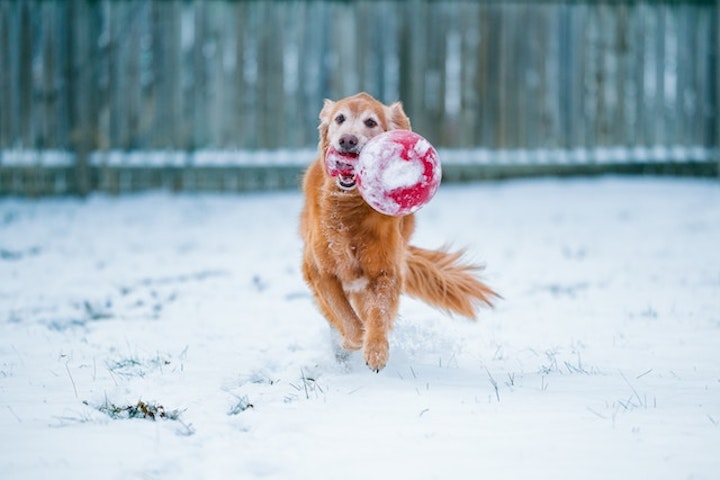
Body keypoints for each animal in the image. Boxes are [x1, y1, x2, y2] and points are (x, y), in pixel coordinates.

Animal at [300, 93, 498, 372]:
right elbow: (344, 316)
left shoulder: (387, 272)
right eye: (340, 118)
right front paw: (353, 341)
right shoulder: (319, 271)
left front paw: (376, 350)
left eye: (370, 122)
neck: (350, 211)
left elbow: (378, 313)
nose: (347, 140)